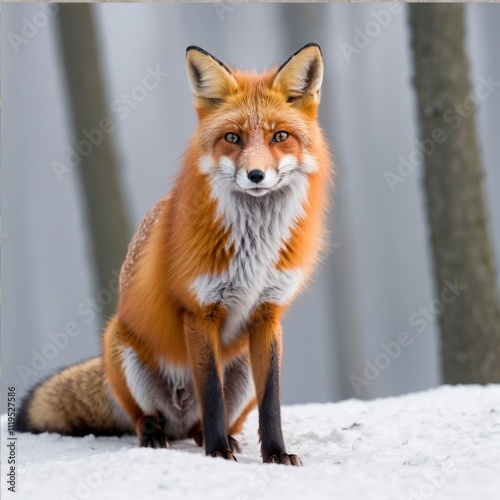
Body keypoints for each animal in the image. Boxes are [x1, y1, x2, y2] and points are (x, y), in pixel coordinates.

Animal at [17, 43, 332, 464]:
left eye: (280, 136)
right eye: (232, 137)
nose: (256, 176)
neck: (254, 248)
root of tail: (180, 415)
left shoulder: (268, 314)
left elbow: (271, 402)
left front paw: (276, 455)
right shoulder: (199, 312)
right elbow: (211, 393)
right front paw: (218, 455)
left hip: (241, 372)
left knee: (210, 421)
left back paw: (215, 438)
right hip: (121, 348)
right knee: (148, 418)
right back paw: (160, 435)